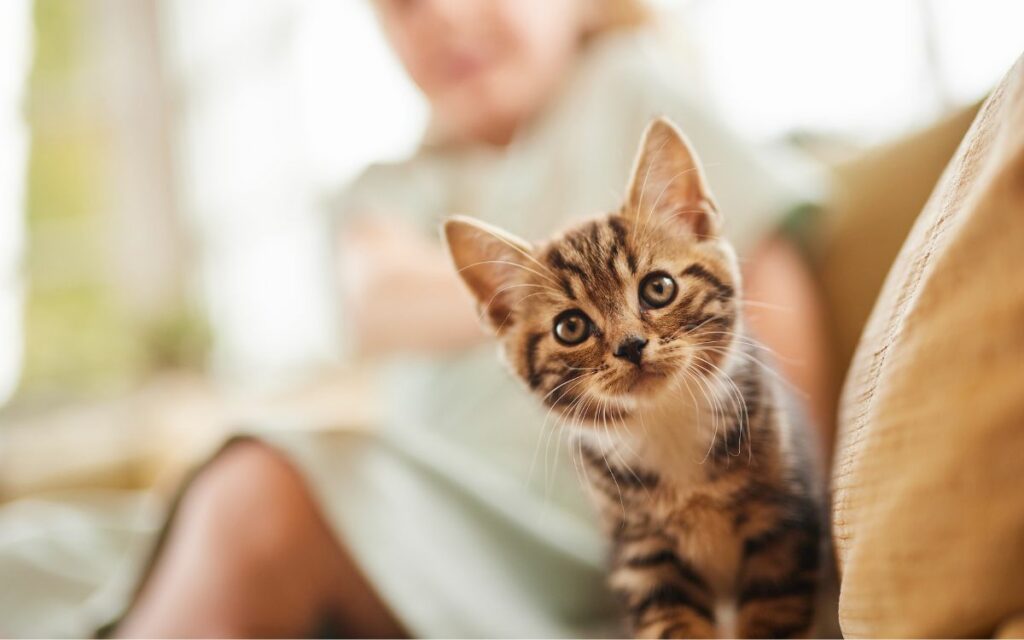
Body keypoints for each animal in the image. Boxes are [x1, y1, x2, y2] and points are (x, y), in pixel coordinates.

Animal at [442, 118, 823, 634]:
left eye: (658, 288)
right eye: (570, 327)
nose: (630, 345)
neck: (666, 424)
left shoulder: (784, 526)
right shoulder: (644, 560)